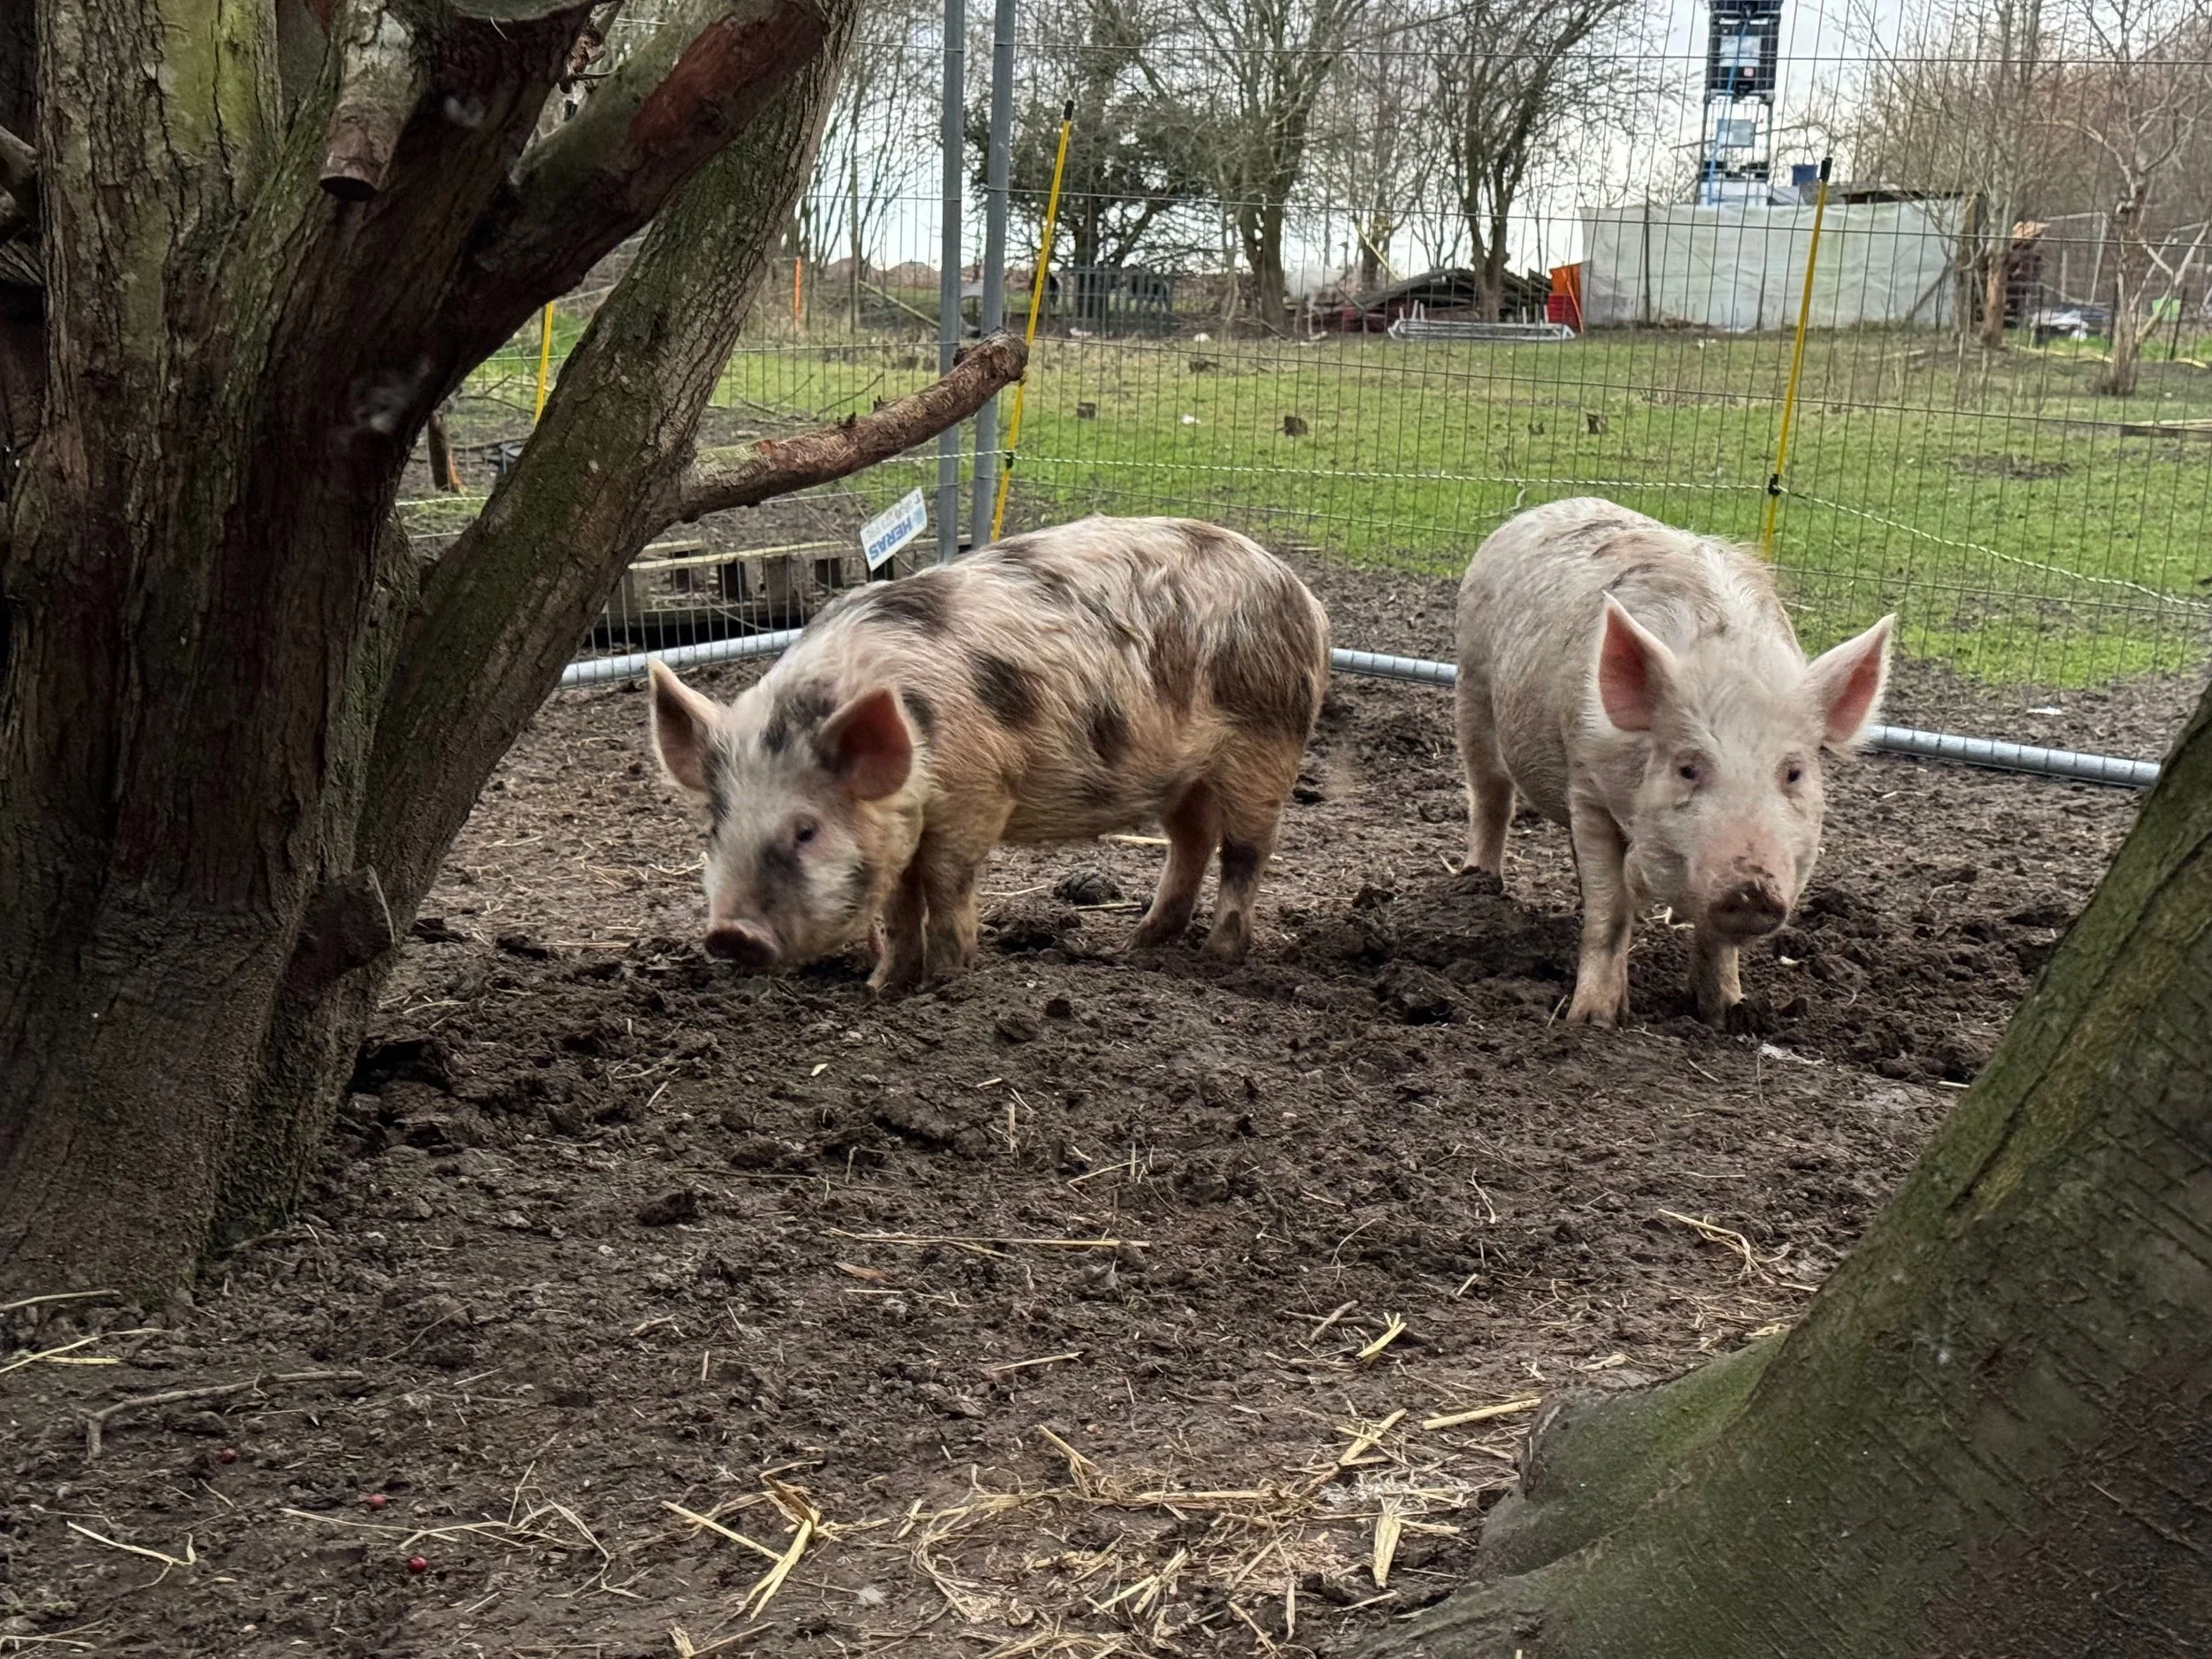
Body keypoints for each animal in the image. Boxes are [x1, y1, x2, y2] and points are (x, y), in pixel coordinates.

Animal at [646, 515, 1330, 992]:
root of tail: (1303, 594)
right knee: (1192, 840)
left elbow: (946, 885)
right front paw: (881, 989)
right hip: (1184, 774)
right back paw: (1133, 946)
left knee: (1247, 849)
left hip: (1265, 742)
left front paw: (947, 983)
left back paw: (1215, 959)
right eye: (714, 827)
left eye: (806, 830)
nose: (730, 934)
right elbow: (899, 904)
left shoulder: (977, 792)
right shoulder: (901, 825)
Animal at [1453, 498, 1893, 1028]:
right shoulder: (1587, 783)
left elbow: (1714, 942)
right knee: (1491, 795)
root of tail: (1540, 509)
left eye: (1793, 773)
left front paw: (1726, 1013)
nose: (1752, 889)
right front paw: (1592, 1021)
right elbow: (1608, 912)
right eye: (1688, 768)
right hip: (1472, 685)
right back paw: (1477, 884)